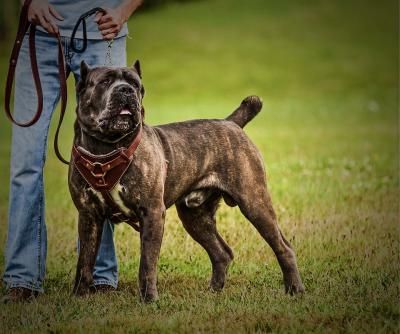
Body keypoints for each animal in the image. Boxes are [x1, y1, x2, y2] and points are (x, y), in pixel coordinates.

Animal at [69, 60, 306, 302]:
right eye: (105, 81)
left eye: (135, 84)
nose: (126, 90)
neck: (106, 148)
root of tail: (231, 123)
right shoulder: (88, 216)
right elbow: (84, 262)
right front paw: (78, 297)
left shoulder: (152, 213)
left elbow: (147, 263)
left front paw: (149, 299)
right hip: (195, 216)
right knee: (222, 252)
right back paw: (213, 291)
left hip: (254, 202)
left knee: (283, 247)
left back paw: (294, 289)